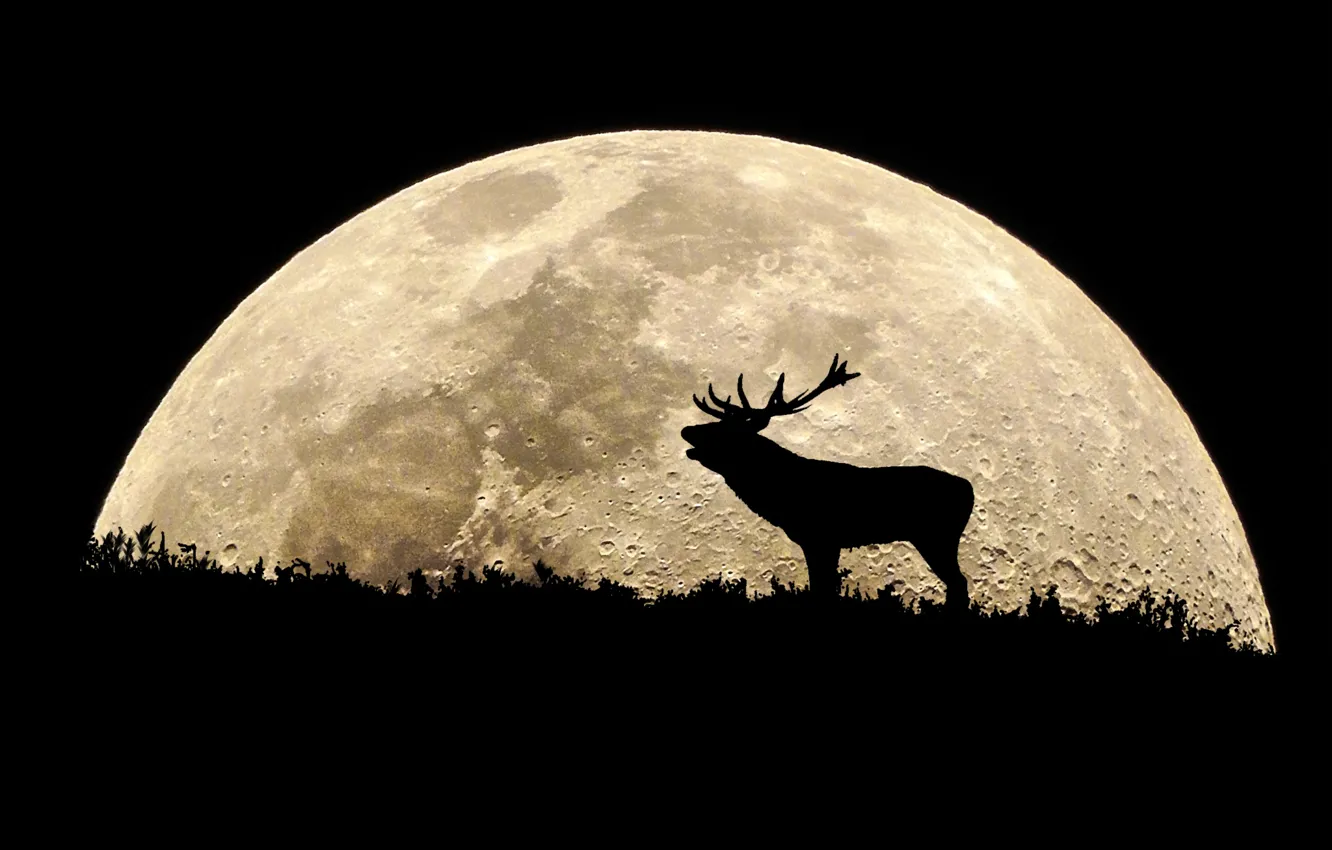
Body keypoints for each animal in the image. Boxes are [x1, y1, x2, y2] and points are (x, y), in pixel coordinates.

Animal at [681, 354, 976, 610]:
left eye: (723, 431)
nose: (686, 430)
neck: (779, 493)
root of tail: (969, 489)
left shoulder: (820, 537)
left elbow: (821, 591)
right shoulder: (825, 542)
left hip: (936, 536)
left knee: (959, 583)